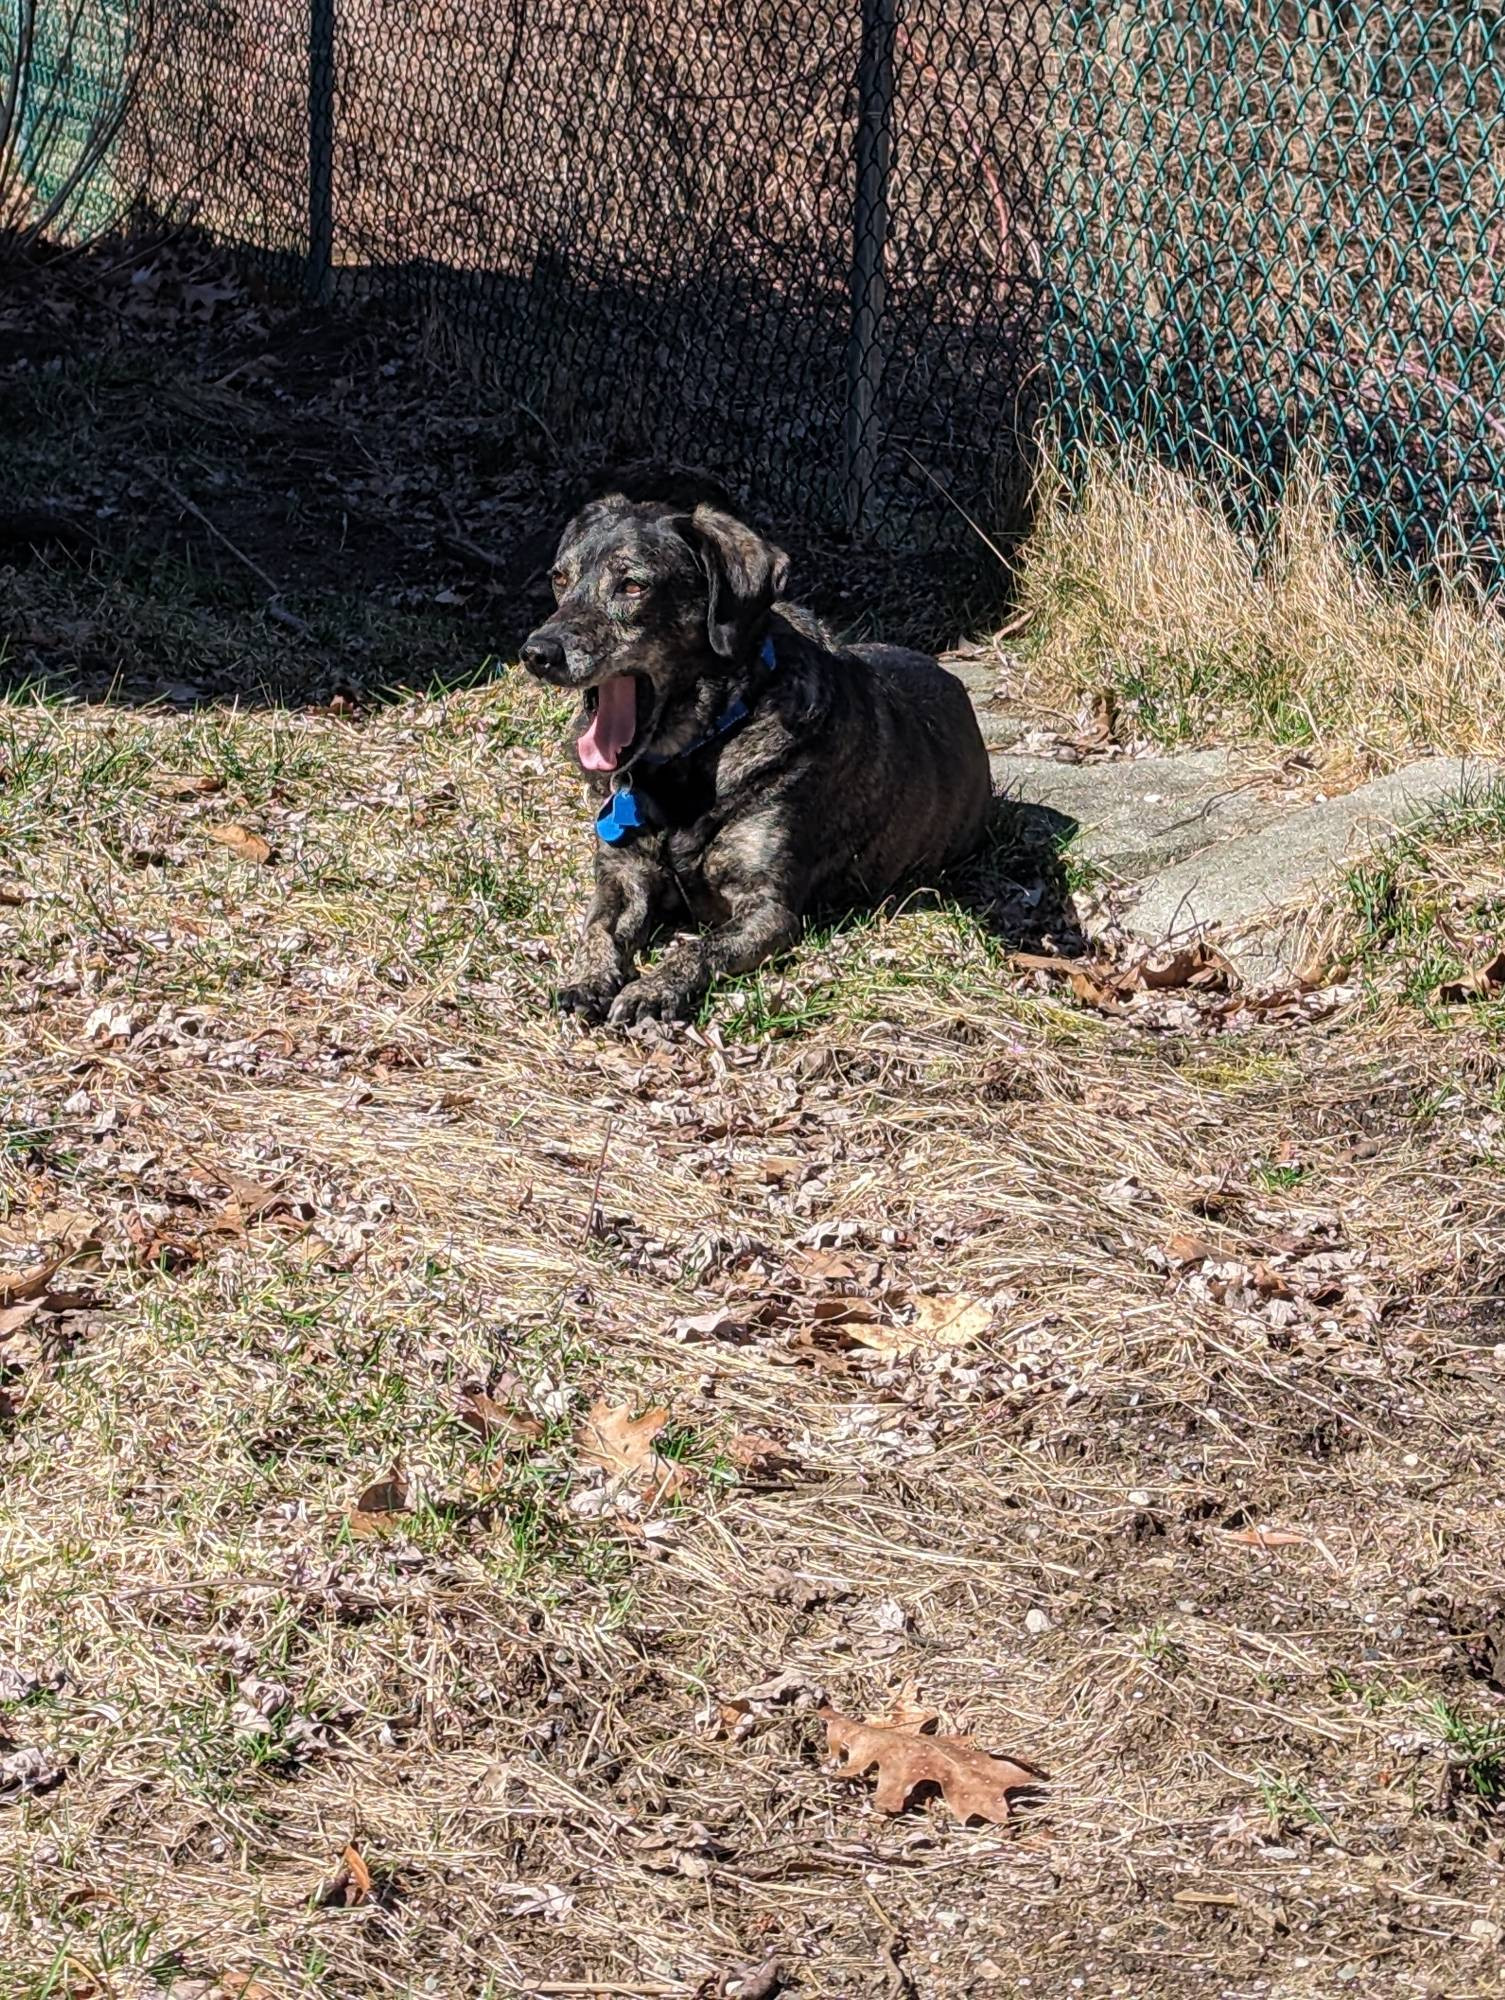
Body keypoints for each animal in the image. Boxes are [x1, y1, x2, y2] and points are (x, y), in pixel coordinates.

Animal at [524, 496, 992, 1032]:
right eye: (560, 579)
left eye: (633, 585)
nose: (536, 653)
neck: (695, 754)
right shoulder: (621, 875)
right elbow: (598, 928)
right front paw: (588, 979)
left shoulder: (769, 909)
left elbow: (700, 948)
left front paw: (653, 989)